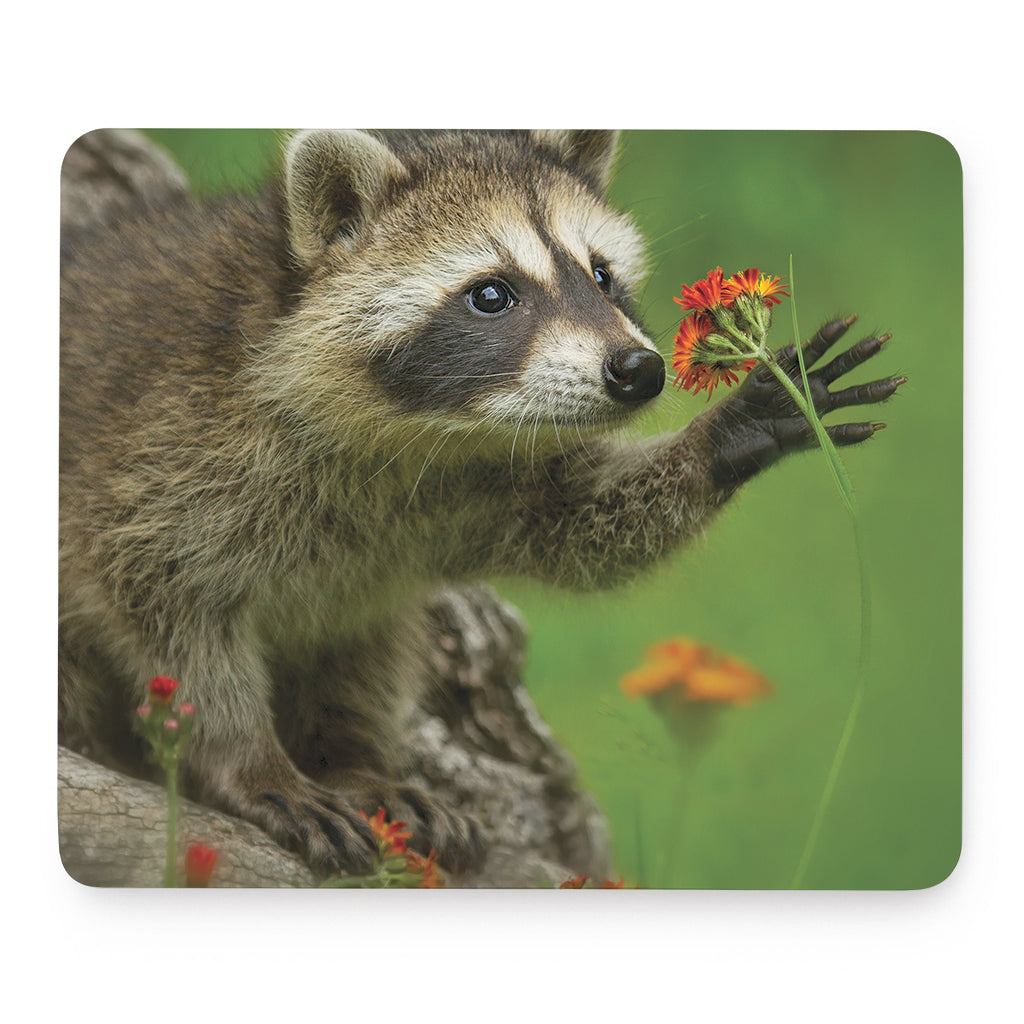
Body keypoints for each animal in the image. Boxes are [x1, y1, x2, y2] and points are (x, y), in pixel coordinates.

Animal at [59, 129, 902, 875]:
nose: (639, 371)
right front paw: (250, 762)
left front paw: (727, 434)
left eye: (601, 276)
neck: (411, 434)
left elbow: (579, 525)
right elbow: (174, 622)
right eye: (491, 294)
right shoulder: (160, 458)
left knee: (363, 643)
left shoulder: (474, 482)